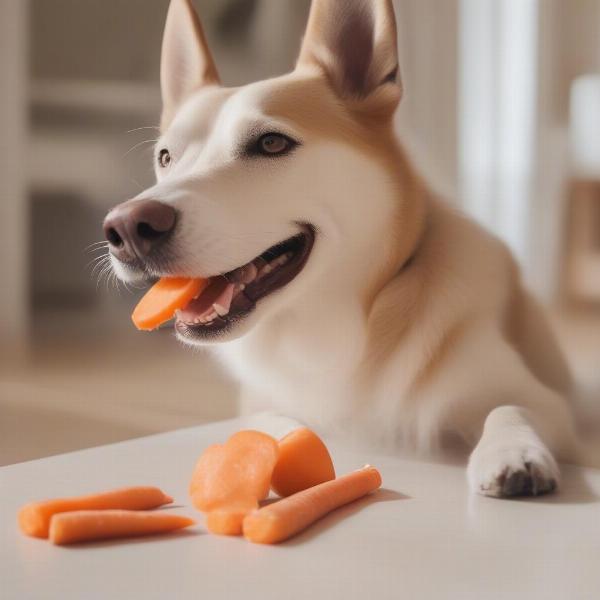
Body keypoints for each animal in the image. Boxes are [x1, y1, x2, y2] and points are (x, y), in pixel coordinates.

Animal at [105, 0, 580, 496]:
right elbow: (270, 423)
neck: (330, 330)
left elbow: (510, 407)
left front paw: (513, 451)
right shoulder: (257, 403)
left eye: (271, 142)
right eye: (165, 158)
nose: (127, 228)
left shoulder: (550, 407)